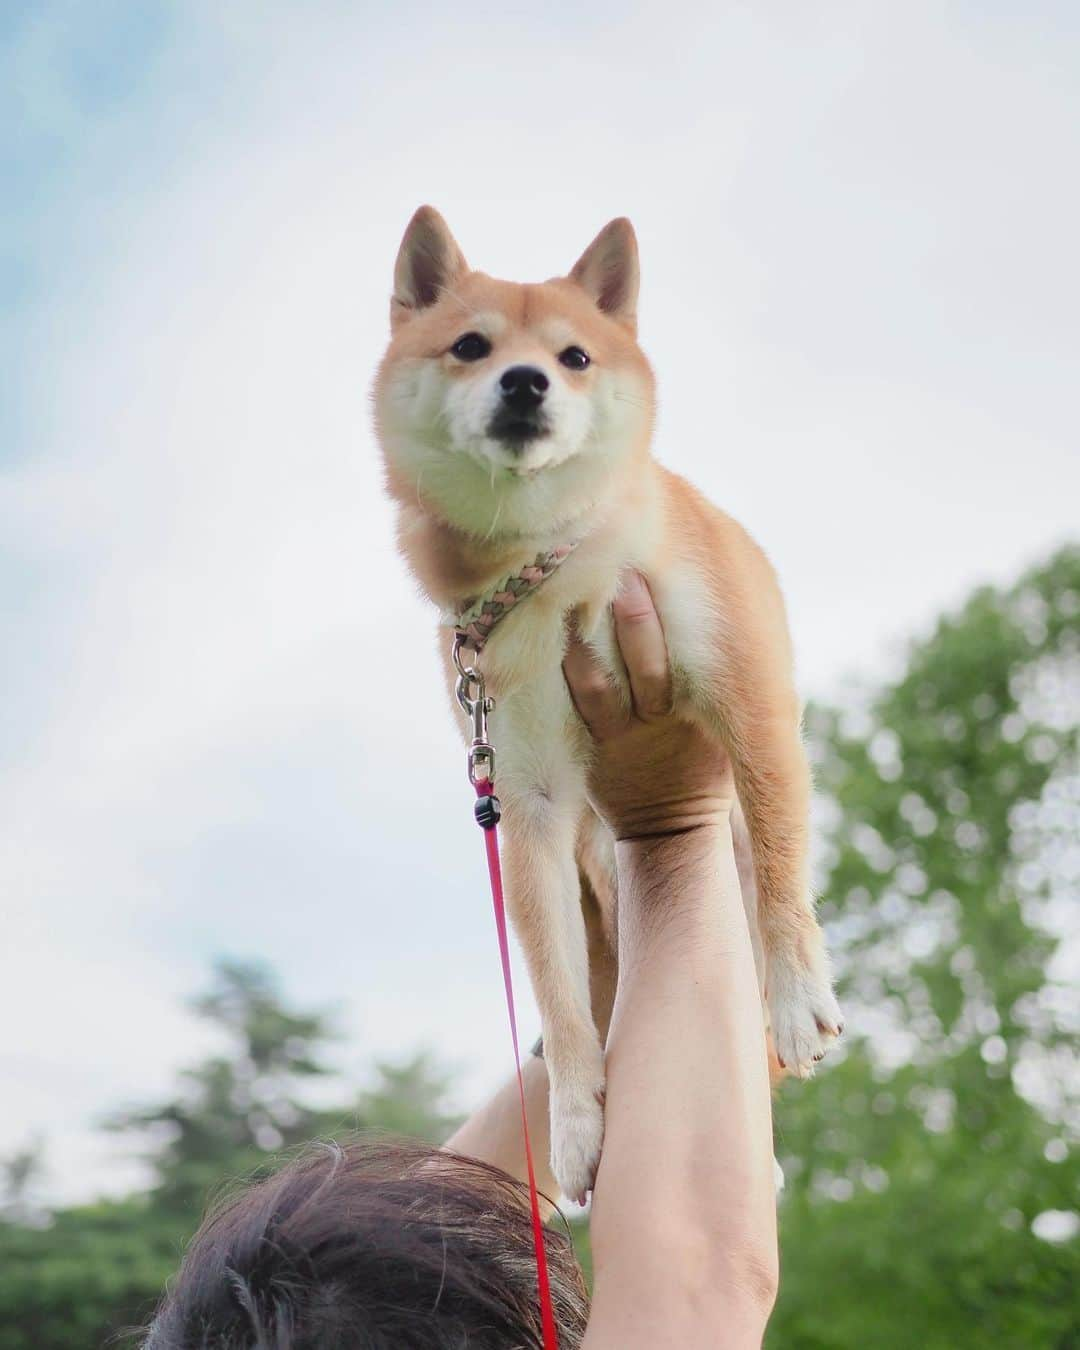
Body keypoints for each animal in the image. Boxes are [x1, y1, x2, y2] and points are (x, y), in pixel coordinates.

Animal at [372, 205, 842, 1198]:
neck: (548, 564)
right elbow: (556, 987)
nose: (524, 380)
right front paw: (577, 1118)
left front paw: (795, 998)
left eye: (575, 356)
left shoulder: (752, 701)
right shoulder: (529, 799)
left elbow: (782, 868)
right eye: (469, 346)